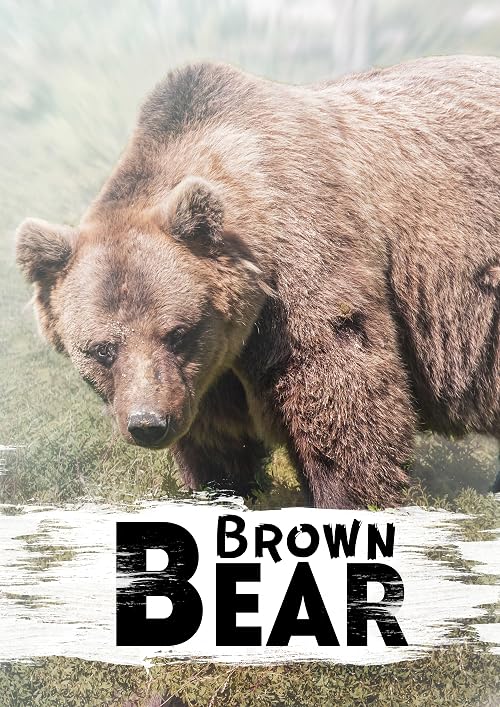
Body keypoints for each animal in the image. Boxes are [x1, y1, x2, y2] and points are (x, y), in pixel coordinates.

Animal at [16, 56, 500, 508]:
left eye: (177, 333)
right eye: (102, 349)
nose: (148, 424)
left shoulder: (306, 270)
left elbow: (343, 403)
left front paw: (347, 496)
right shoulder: (209, 377)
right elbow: (218, 446)